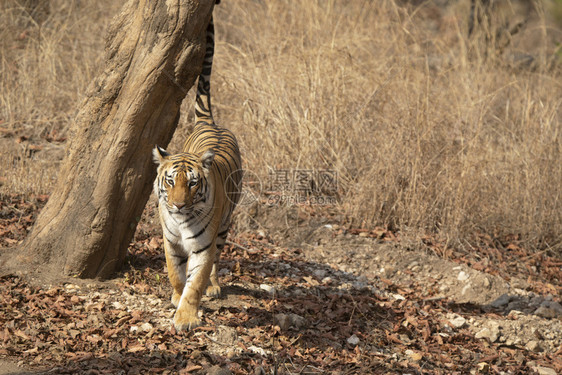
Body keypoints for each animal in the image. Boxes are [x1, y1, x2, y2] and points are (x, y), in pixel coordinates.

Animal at [152, 15, 242, 332]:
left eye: (192, 184)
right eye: (170, 181)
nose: (178, 205)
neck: (181, 221)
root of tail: (210, 123)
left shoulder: (202, 246)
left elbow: (196, 281)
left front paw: (186, 317)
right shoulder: (170, 242)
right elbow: (176, 274)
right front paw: (176, 297)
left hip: (225, 224)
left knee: (217, 257)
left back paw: (214, 286)